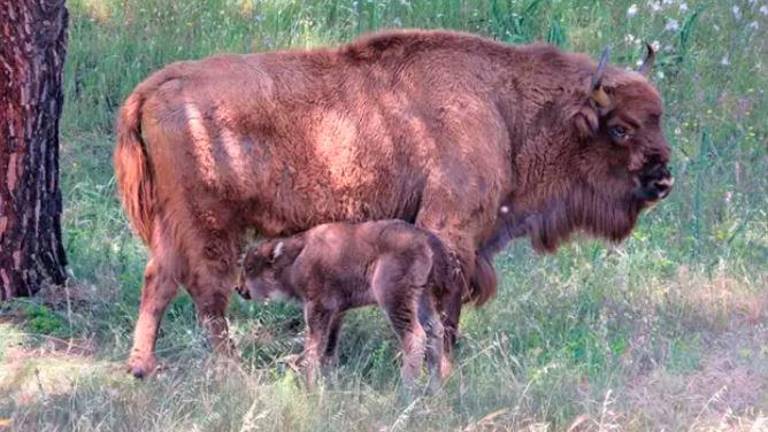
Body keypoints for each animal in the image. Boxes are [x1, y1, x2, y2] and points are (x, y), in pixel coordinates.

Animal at [238, 221, 456, 394]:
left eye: (250, 267)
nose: (239, 289)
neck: (297, 256)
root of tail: (426, 238)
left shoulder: (318, 308)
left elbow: (313, 347)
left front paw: (310, 386)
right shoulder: (337, 312)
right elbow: (329, 349)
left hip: (395, 300)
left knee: (415, 336)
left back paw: (405, 391)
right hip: (423, 299)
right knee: (435, 330)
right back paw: (435, 389)